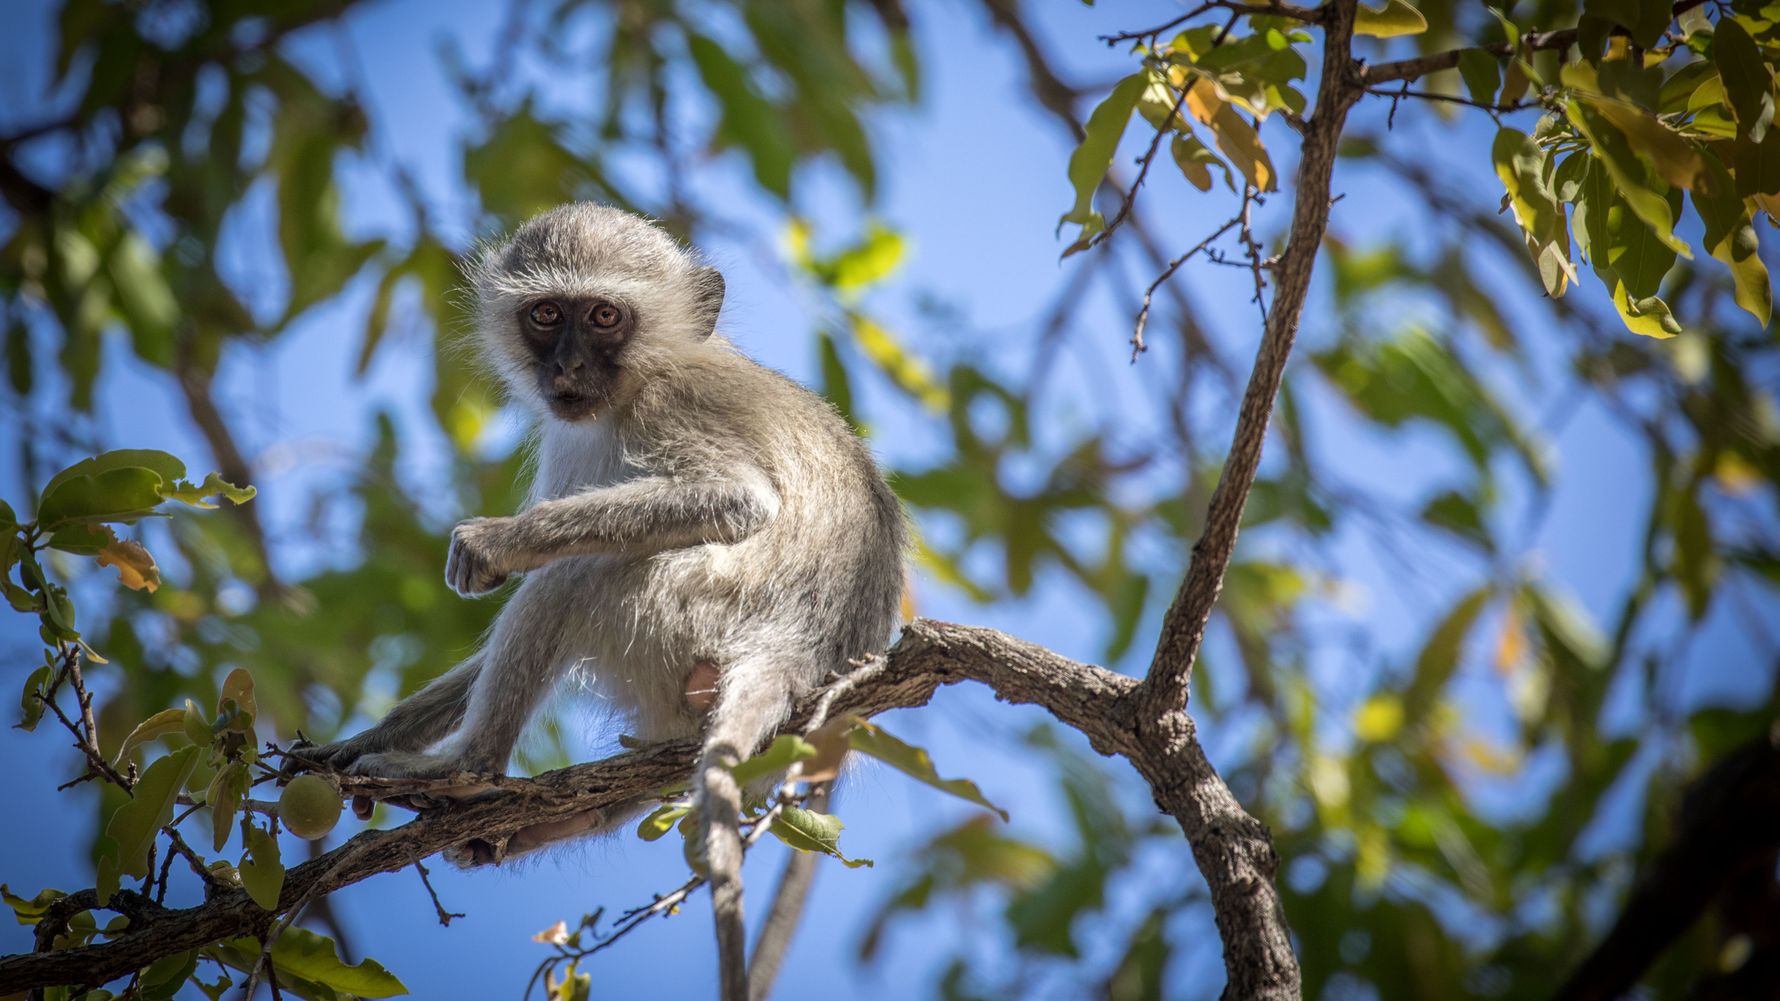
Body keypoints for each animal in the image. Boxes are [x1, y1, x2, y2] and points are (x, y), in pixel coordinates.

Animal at [296, 203, 908, 995]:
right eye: (546, 314)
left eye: (606, 316)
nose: (568, 370)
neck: (637, 383)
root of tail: (802, 651)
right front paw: (360, 742)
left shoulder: (671, 407)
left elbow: (735, 501)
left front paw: (500, 541)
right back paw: (515, 822)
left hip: (693, 607)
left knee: (577, 575)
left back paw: (466, 770)